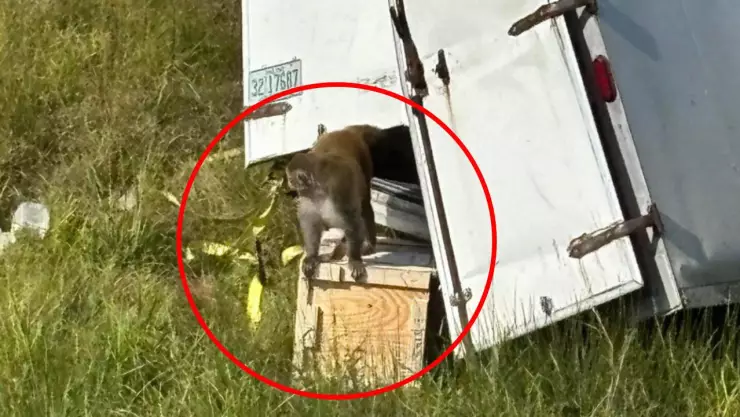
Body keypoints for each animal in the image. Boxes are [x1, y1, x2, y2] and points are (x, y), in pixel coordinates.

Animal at [285, 125, 378, 281]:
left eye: (291, 179)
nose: (289, 183)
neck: (318, 188)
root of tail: (345, 131)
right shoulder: (308, 197)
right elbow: (311, 223)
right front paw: (311, 256)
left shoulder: (338, 189)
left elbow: (351, 221)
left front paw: (354, 259)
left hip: (365, 160)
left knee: (365, 204)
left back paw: (368, 243)